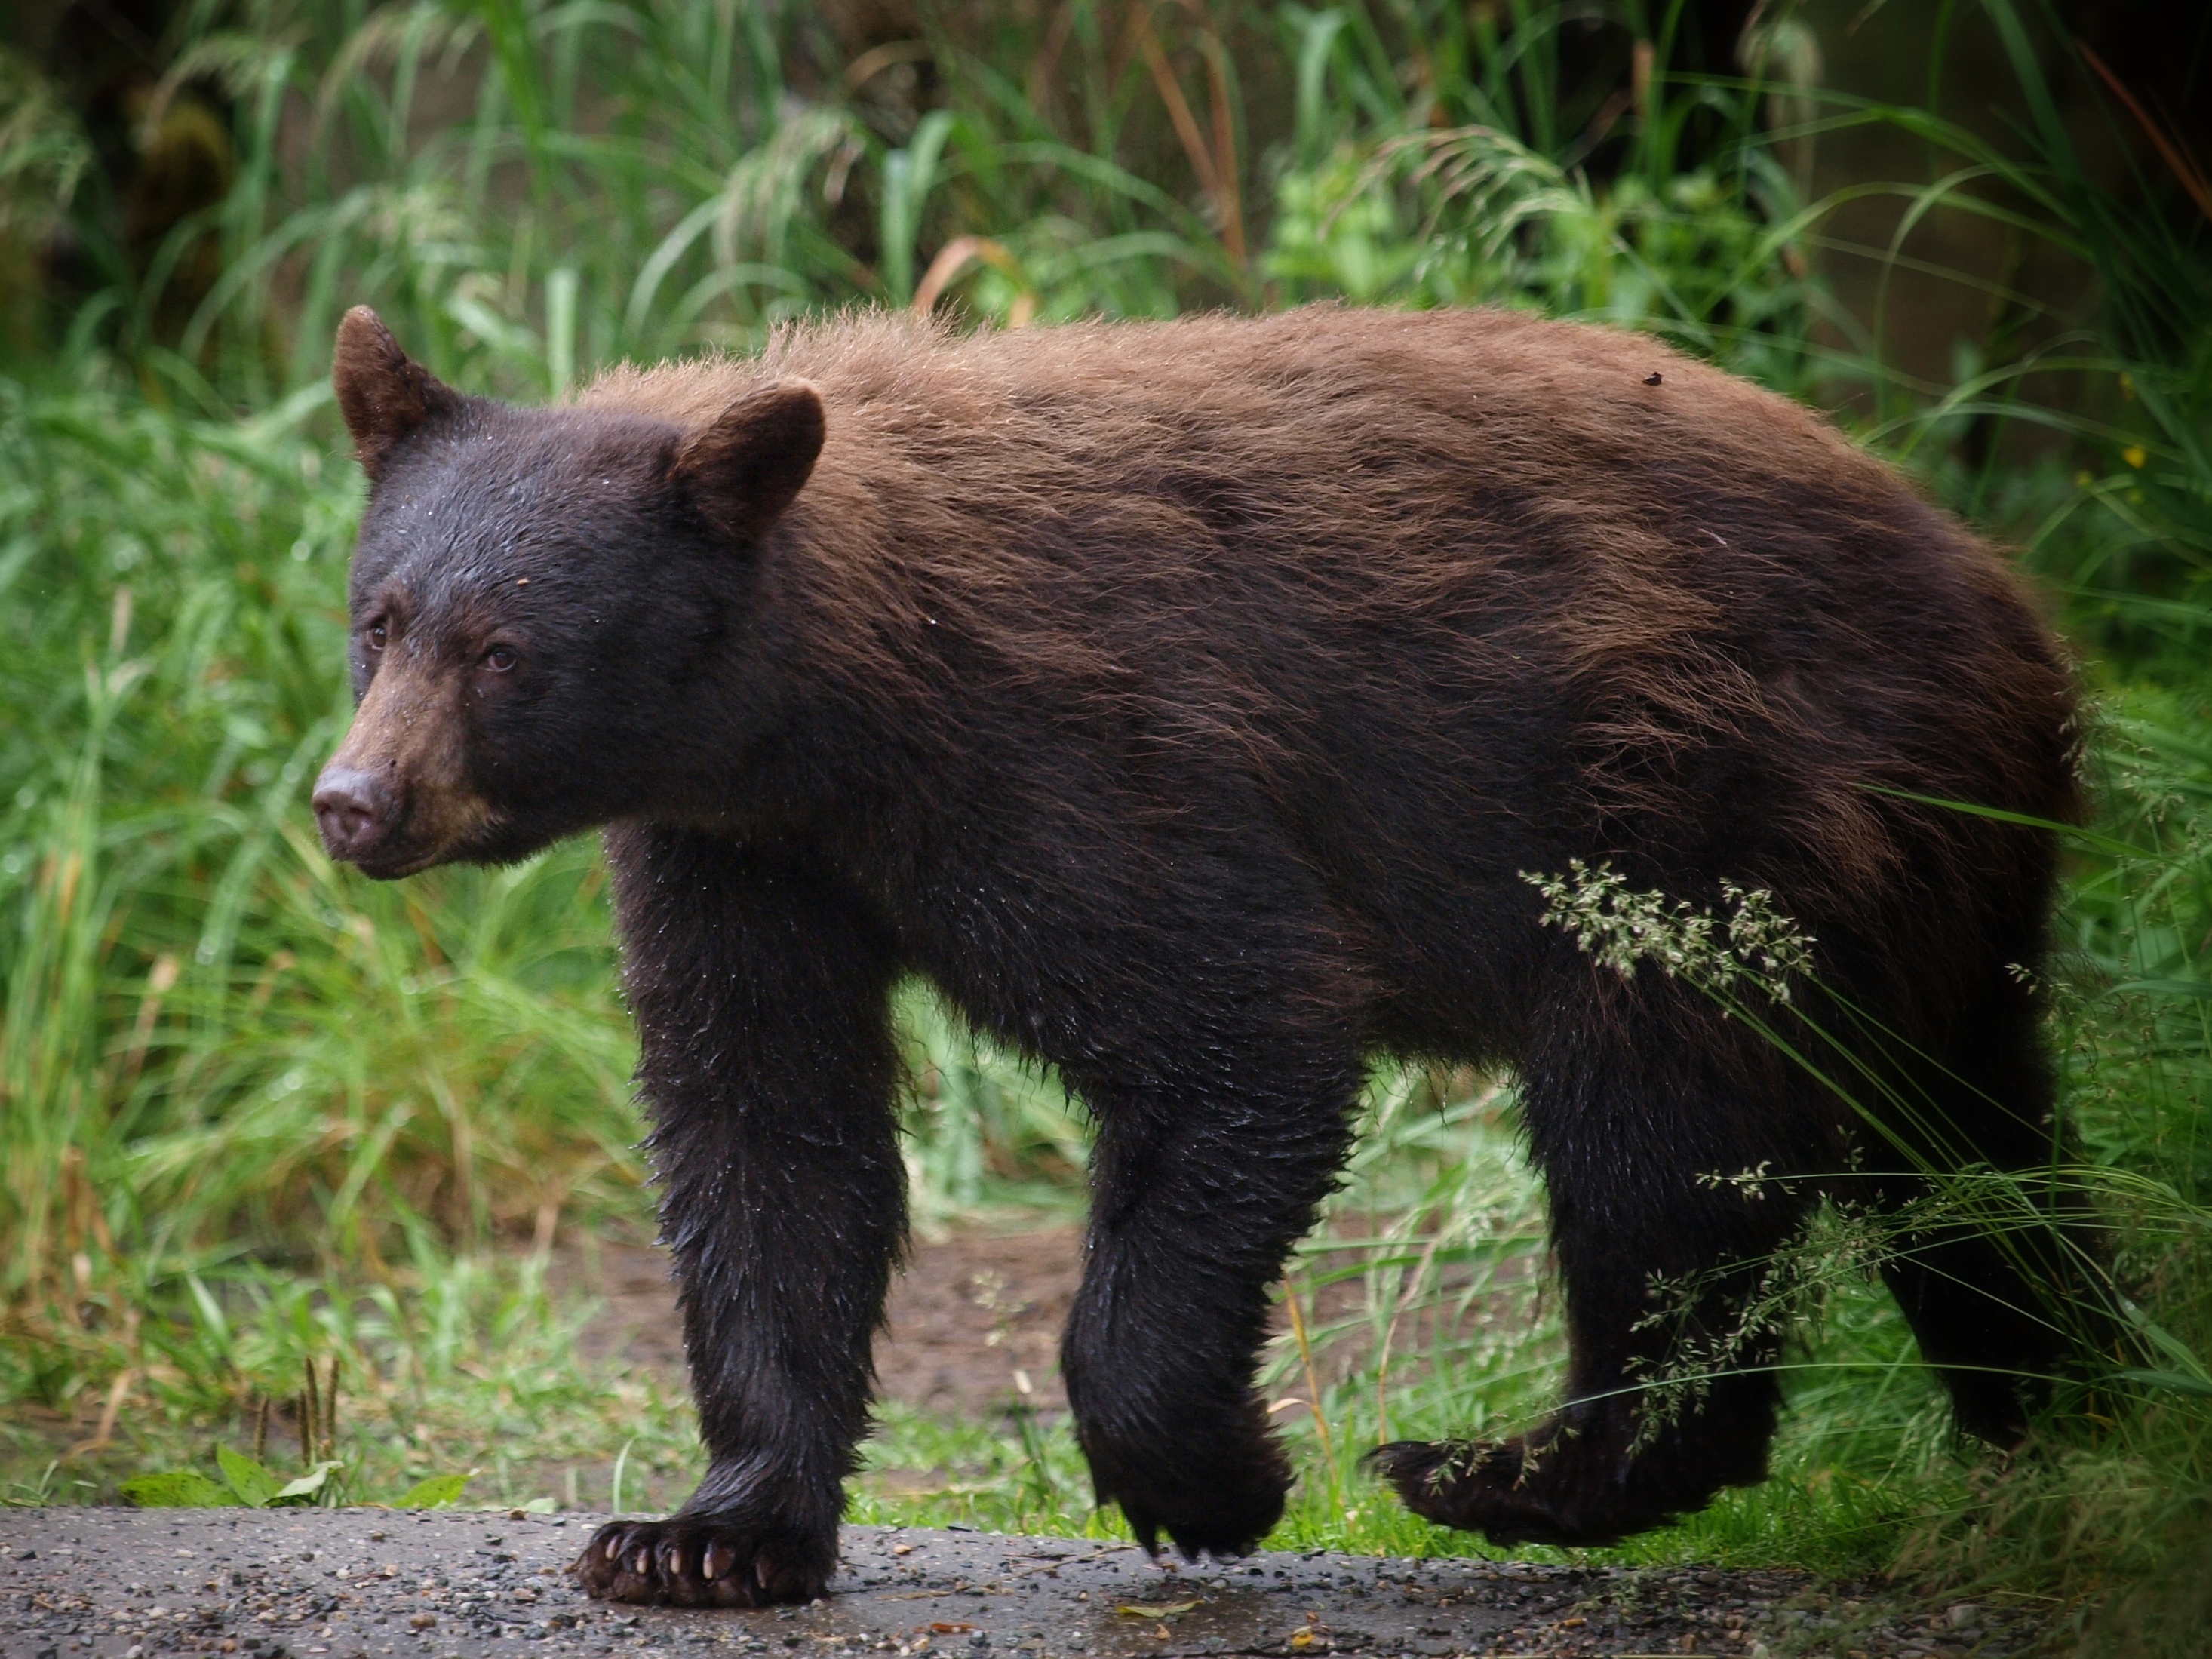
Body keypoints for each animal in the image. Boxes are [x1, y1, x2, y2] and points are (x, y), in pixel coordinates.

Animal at [315, 301, 2087, 1607]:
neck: (829, 705)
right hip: (1926, 897)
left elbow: (1234, 1031)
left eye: (504, 648)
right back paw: (2063, 1425)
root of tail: (2010, 607)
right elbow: (766, 1127)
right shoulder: (742, 854)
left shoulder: (1081, 753)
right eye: (379, 617)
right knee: (1972, 1172)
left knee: (1661, 1146)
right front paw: (704, 1531)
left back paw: (1516, 1467)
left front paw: (1214, 1478)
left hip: (1709, 821)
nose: (353, 801)